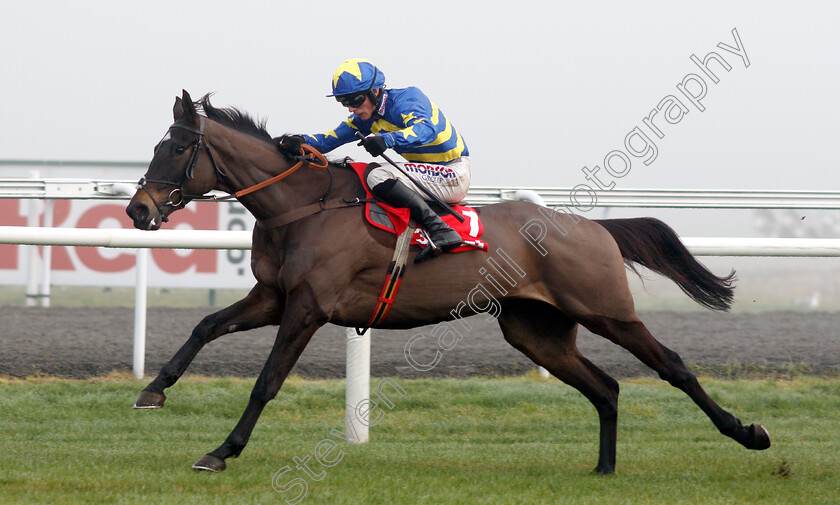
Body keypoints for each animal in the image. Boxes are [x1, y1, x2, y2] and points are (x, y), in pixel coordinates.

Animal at [123, 89, 768, 472]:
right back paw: (604, 468)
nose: (138, 210)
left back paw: (748, 434)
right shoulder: (274, 296)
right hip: (536, 331)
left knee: (674, 367)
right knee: (605, 387)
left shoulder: (308, 306)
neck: (301, 207)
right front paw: (153, 390)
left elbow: (266, 382)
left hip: (606, 309)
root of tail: (591, 227)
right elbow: (206, 326)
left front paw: (222, 450)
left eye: (175, 148)